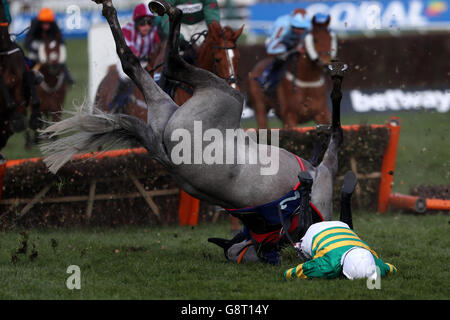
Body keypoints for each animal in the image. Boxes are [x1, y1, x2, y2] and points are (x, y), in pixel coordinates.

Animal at [39, 0, 348, 264]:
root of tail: (167, 155)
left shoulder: (323, 176)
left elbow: (337, 135)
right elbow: (335, 133)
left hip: (199, 101)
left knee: (145, 63)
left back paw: (143, 11)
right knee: (157, 64)